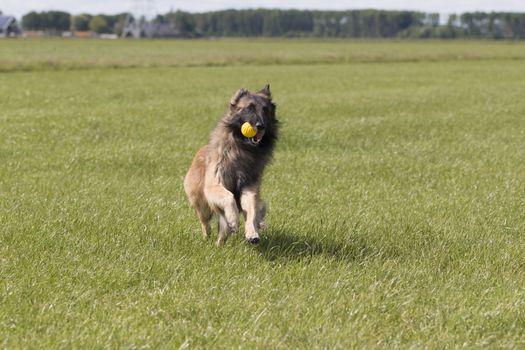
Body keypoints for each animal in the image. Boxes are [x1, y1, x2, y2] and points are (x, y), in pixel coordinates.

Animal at [183, 84, 278, 246]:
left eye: (265, 109)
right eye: (249, 108)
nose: (261, 126)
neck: (243, 149)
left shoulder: (249, 188)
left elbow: (251, 211)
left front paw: (252, 233)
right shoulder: (214, 185)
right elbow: (229, 197)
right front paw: (233, 219)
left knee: (223, 229)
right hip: (201, 203)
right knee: (205, 222)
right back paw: (208, 237)